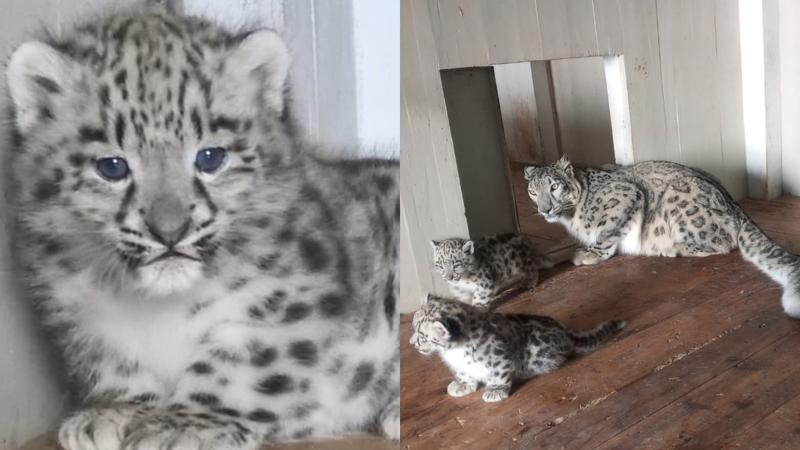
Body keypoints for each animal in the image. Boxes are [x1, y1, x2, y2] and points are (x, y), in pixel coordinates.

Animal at [7, 7, 400, 450]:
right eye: (112, 167)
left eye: (211, 157)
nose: (169, 231)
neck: (151, 308)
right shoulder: (80, 317)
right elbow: (117, 365)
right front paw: (115, 413)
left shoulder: (295, 305)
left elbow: (240, 367)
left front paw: (185, 425)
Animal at [524, 156, 800, 318]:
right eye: (533, 192)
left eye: (554, 186)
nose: (544, 210)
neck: (570, 218)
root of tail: (734, 205)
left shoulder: (626, 197)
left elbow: (608, 230)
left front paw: (589, 254)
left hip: (677, 200)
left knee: (724, 241)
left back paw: (672, 248)